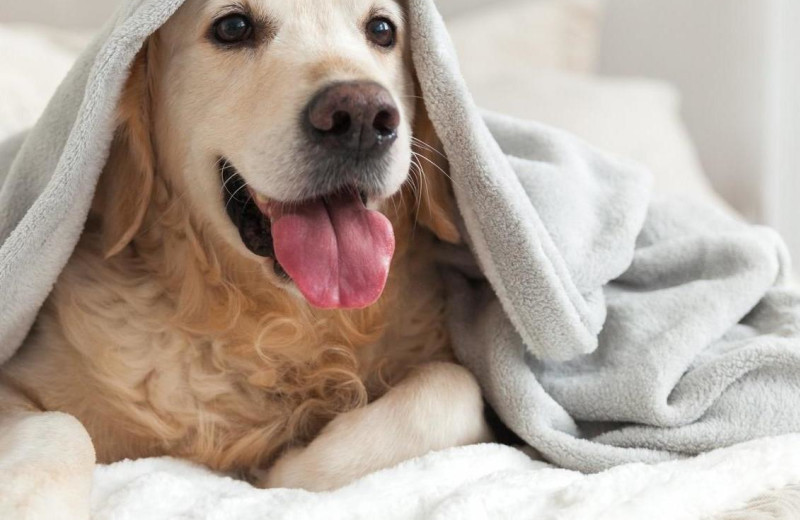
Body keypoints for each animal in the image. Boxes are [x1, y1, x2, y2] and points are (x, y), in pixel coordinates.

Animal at [0, 0, 494, 516]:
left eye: (382, 29)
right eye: (233, 27)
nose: (360, 116)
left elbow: (455, 387)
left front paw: (291, 467)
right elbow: (61, 424)